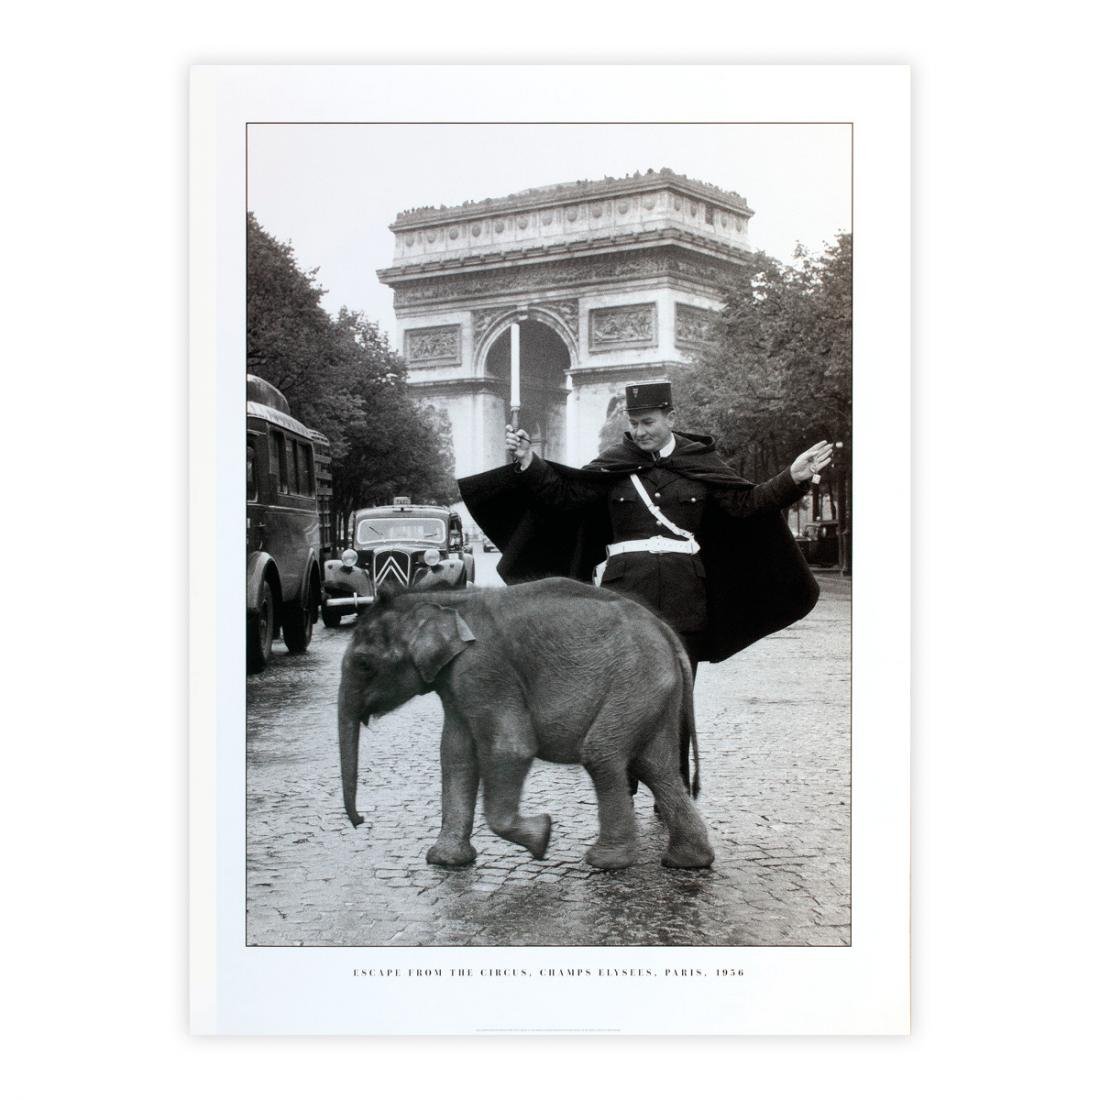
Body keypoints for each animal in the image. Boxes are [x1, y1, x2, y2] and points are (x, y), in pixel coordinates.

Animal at [334, 576, 712, 866]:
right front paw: (445, 861)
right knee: (655, 767)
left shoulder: (483, 668)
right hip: (653, 694)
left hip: (634, 683)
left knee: (604, 756)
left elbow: (510, 748)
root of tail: (667, 632)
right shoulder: (455, 683)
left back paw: (606, 863)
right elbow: (456, 755)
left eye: (364, 664)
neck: (445, 600)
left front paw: (542, 837)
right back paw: (687, 862)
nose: (360, 820)